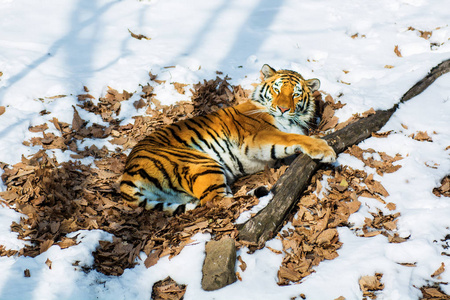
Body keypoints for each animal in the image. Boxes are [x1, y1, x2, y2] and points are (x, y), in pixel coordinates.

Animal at [119, 63, 334, 213]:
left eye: (295, 94)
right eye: (277, 89)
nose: (283, 108)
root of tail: (127, 174)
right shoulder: (260, 135)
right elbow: (290, 138)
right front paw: (325, 149)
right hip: (201, 163)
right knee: (216, 202)